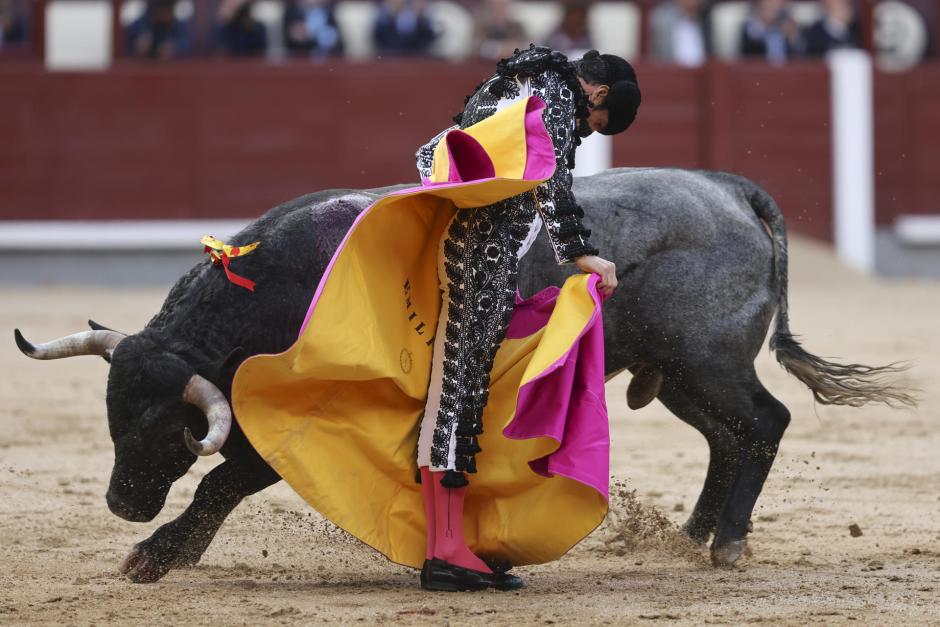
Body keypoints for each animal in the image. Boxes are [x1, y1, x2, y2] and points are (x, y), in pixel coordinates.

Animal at [14, 168, 916, 584]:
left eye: (167, 428)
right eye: (110, 416)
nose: (121, 502)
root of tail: (727, 190)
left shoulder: (284, 422)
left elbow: (221, 481)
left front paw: (155, 554)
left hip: (710, 360)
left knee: (763, 423)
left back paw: (726, 542)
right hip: (679, 374)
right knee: (729, 438)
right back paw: (693, 532)